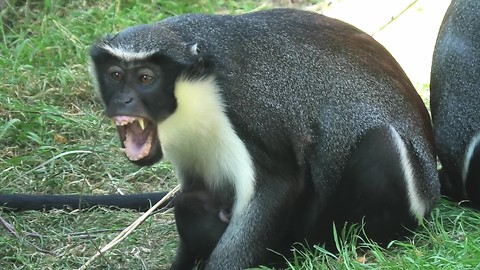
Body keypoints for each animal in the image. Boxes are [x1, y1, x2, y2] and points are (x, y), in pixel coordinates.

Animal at [88, 7, 440, 268]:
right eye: (115, 76)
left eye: (145, 78)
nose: (122, 101)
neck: (194, 87)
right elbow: (193, 193)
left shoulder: (246, 109)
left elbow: (276, 185)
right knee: (190, 204)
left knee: (380, 144)